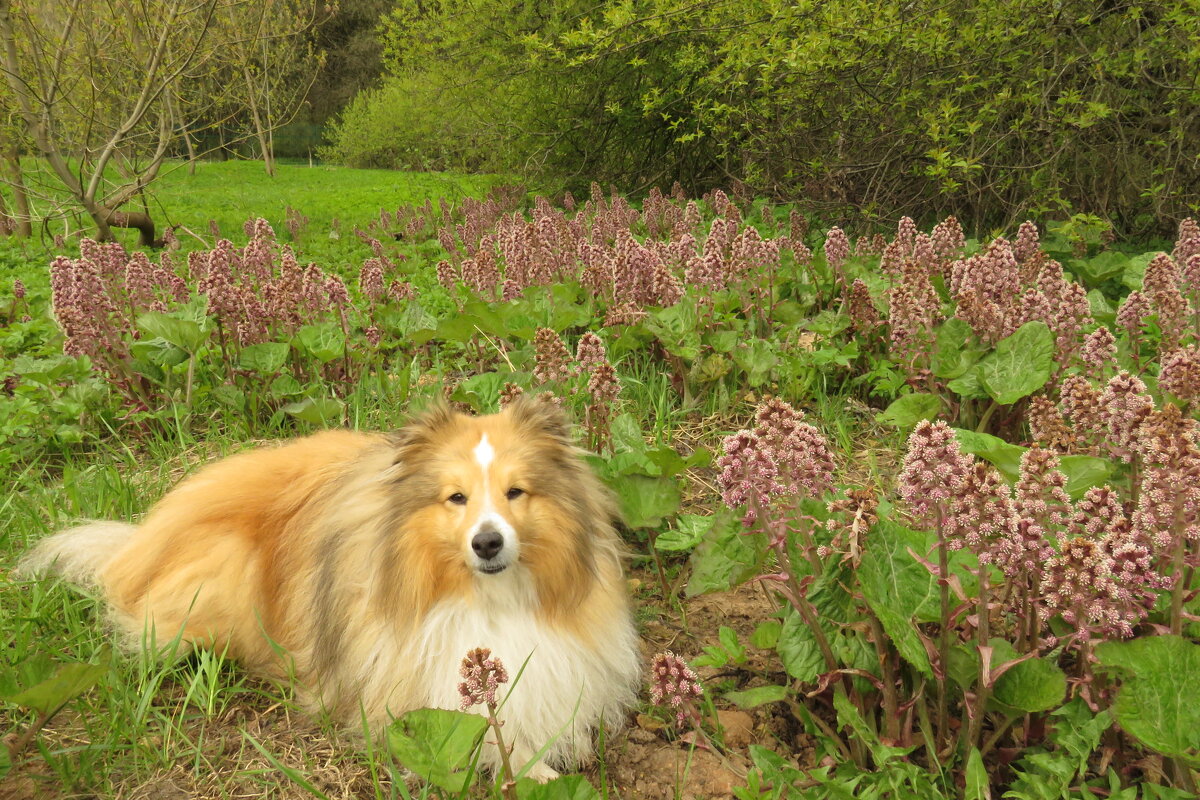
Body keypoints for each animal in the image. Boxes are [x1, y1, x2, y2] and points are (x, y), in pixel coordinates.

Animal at [23, 400, 643, 782]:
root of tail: (137, 548)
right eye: (456, 498)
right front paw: (533, 768)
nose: (487, 543)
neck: (488, 598)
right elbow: (484, 732)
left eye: (516, 491)